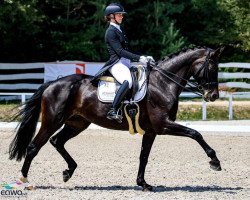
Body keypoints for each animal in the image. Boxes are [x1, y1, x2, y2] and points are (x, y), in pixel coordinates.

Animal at [9, 46, 224, 191]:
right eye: (213, 68)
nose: (213, 96)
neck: (163, 83)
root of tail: (52, 84)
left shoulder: (152, 131)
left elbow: (144, 156)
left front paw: (143, 183)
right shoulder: (163, 125)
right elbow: (195, 133)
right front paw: (215, 161)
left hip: (77, 123)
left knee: (56, 141)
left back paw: (68, 171)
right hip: (52, 121)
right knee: (34, 146)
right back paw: (24, 180)